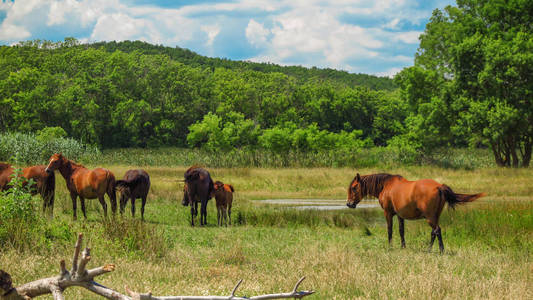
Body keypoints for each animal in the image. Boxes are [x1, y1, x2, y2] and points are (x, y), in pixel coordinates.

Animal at [348, 173, 484, 253]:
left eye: (354, 188)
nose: (349, 204)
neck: (386, 186)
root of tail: (439, 186)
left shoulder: (388, 213)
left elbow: (390, 230)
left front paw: (390, 247)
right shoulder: (400, 215)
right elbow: (401, 231)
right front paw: (403, 247)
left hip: (430, 217)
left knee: (437, 230)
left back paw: (441, 250)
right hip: (435, 216)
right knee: (434, 232)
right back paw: (429, 249)